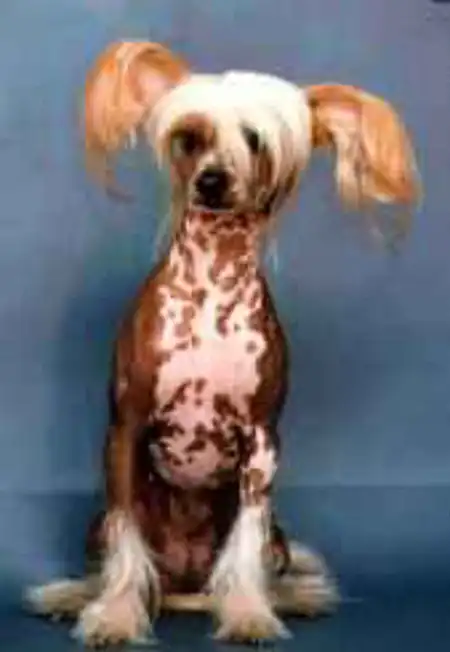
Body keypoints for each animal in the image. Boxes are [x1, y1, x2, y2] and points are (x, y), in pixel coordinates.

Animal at [26, 41, 420, 646]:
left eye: (255, 140)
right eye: (190, 137)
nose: (212, 179)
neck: (211, 286)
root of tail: (184, 585)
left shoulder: (262, 445)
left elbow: (244, 545)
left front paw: (249, 614)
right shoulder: (125, 429)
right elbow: (125, 543)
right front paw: (113, 616)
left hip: (278, 537)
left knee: (259, 560)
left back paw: (292, 598)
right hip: (97, 524)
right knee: (120, 560)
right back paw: (73, 598)